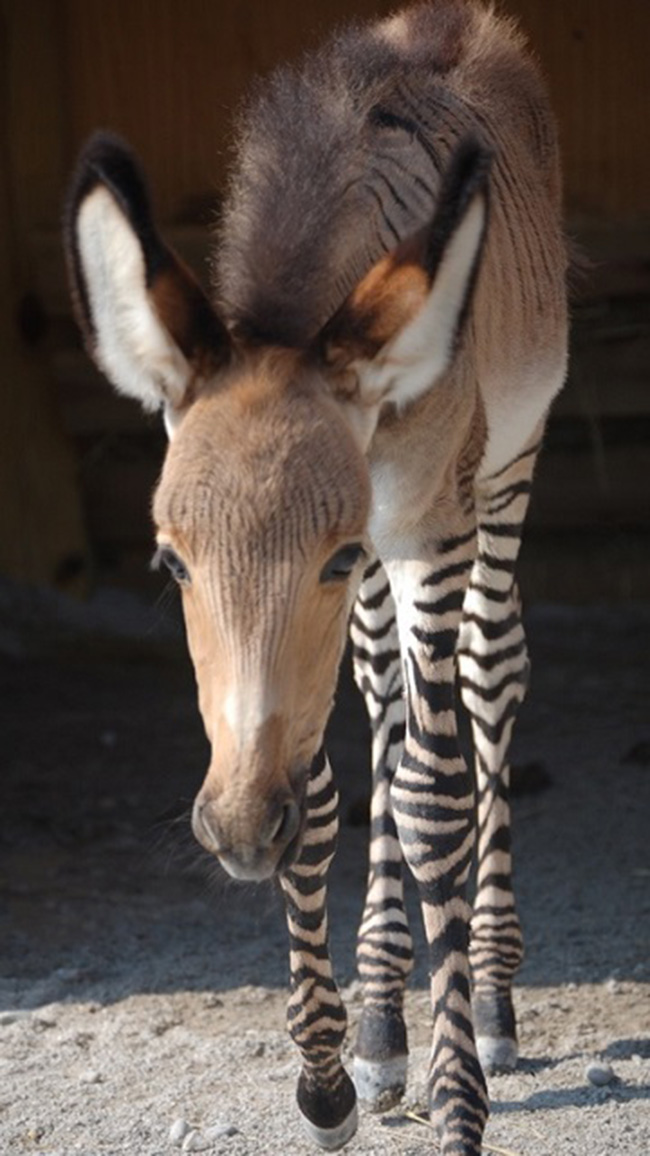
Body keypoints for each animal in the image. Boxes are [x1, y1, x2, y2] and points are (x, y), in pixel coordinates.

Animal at [63, 2, 564, 1156]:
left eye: (325, 554)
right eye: (169, 561)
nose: (239, 831)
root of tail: (460, 22)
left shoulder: (421, 530)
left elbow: (430, 799)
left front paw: (459, 1106)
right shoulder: (346, 595)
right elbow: (329, 792)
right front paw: (332, 1074)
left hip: (506, 473)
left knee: (489, 680)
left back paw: (494, 1003)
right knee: (383, 707)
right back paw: (382, 1020)